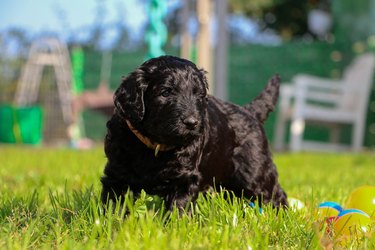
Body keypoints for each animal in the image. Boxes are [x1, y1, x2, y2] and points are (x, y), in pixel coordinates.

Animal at [100, 55, 288, 211]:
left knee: (275, 194)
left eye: (199, 94)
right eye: (166, 92)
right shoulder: (117, 174)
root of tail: (249, 111)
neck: (154, 146)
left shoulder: (185, 179)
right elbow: (113, 204)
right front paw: (112, 224)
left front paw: (173, 226)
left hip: (254, 171)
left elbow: (178, 208)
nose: (192, 123)